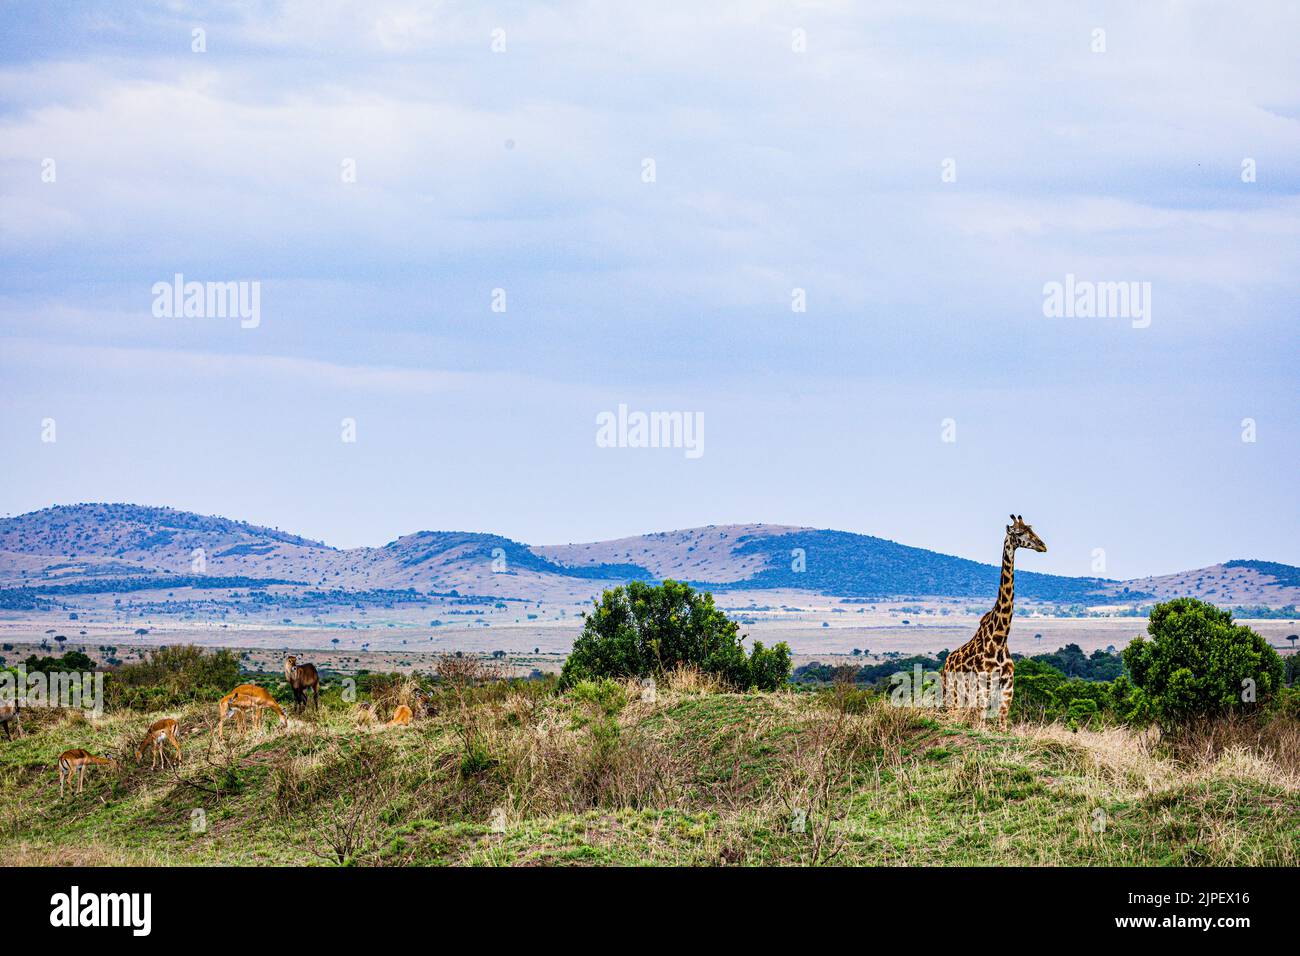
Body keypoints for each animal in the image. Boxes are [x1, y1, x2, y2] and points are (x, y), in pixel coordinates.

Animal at [940, 515, 1046, 724]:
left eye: (1031, 529)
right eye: (1019, 532)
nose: (1042, 545)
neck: (999, 639)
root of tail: (945, 664)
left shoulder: (1007, 687)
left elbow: (1002, 724)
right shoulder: (983, 686)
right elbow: (982, 723)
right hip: (953, 696)